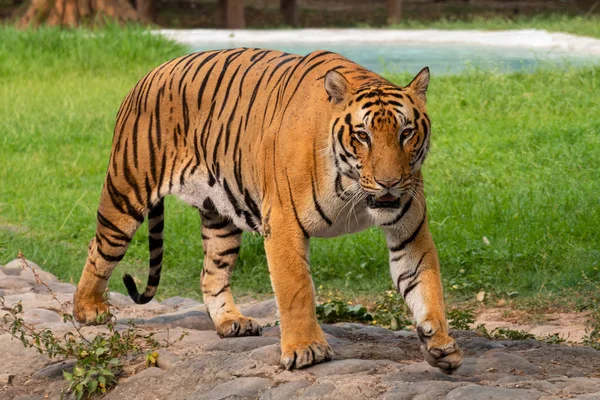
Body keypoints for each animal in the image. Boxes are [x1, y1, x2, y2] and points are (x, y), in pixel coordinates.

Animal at [71, 47, 464, 372]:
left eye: (406, 133)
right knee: (99, 248)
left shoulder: (409, 231)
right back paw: (89, 309)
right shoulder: (284, 223)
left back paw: (231, 322)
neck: (353, 188)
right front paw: (305, 349)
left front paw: (440, 344)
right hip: (126, 192)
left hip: (221, 217)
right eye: (362, 136)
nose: (389, 183)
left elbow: (426, 284)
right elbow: (296, 289)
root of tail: (147, 74)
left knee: (211, 273)